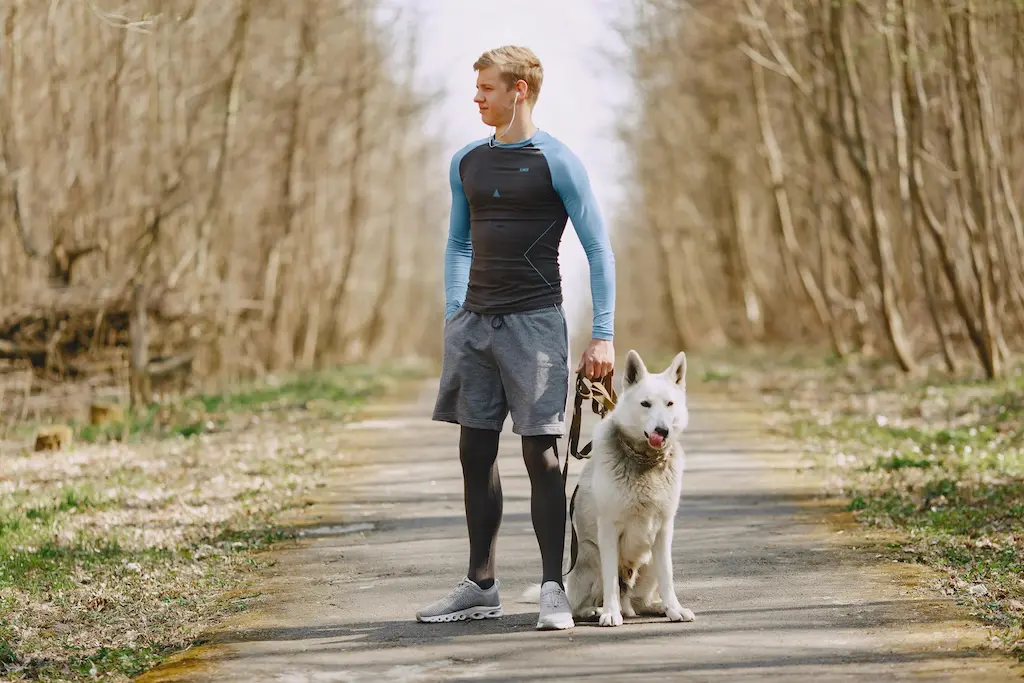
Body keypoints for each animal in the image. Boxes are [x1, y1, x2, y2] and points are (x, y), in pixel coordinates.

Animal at [561, 350, 696, 626]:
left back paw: (658, 607)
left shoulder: (664, 531)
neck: (645, 461)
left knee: (640, 601)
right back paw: (598, 610)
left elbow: (668, 577)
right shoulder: (609, 530)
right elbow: (612, 580)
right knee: (582, 604)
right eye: (645, 404)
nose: (662, 431)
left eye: (669, 404)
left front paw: (675, 609)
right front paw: (610, 614)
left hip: (650, 561)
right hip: (591, 556)